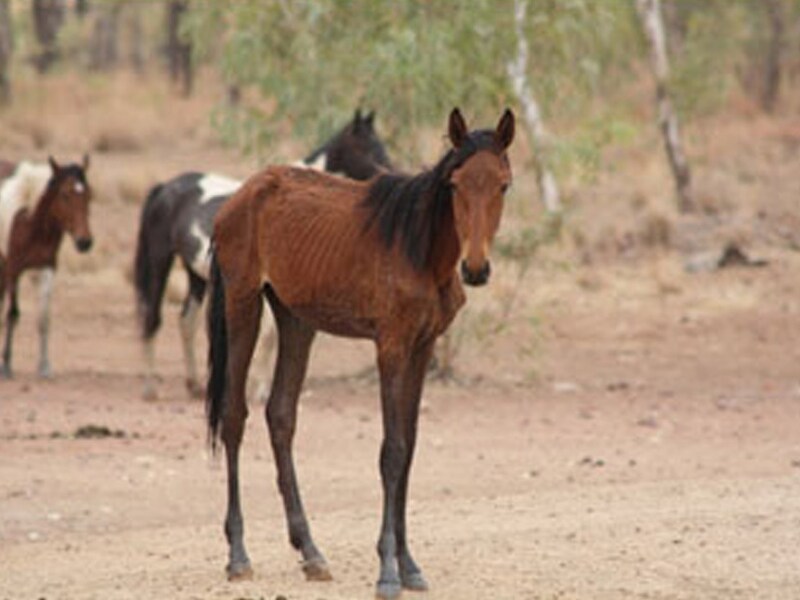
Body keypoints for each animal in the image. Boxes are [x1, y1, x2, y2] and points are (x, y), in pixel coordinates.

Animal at [0, 156, 93, 378]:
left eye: (89, 195)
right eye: (65, 194)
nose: (84, 242)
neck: (30, 220)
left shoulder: (46, 268)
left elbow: (44, 317)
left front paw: (44, 366)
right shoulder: (14, 269)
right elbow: (12, 313)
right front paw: (6, 365)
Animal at [134, 109, 392, 400]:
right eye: (366, 148)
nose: (390, 172)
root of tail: (165, 187)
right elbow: (268, 336)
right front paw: (260, 391)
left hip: (195, 274)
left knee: (186, 321)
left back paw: (195, 386)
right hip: (160, 260)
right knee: (152, 318)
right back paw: (150, 387)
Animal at [206, 108, 515, 599]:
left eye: (504, 184)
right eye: (455, 184)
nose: (476, 268)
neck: (419, 249)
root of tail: (238, 198)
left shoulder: (422, 348)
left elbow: (409, 449)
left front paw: (409, 566)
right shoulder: (390, 347)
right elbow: (391, 451)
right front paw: (388, 570)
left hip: (295, 319)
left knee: (281, 415)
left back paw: (311, 552)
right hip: (243, 304)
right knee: (235, 416)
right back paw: (238, 555)